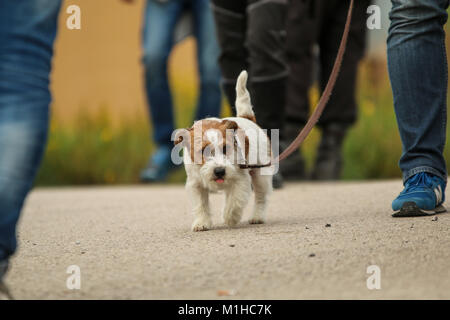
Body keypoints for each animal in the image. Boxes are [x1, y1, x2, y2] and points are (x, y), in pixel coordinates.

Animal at [175, 70, 274, 231]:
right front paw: (202, 222)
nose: (220, 171)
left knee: (260, 197)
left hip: (261, 175)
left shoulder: (240, 180)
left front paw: (230, 218)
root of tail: (247, 118)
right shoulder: (195, 185)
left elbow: (234, 201)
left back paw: (257, 216)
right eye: (203, 151)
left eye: (226, 148)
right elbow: (201, 205)